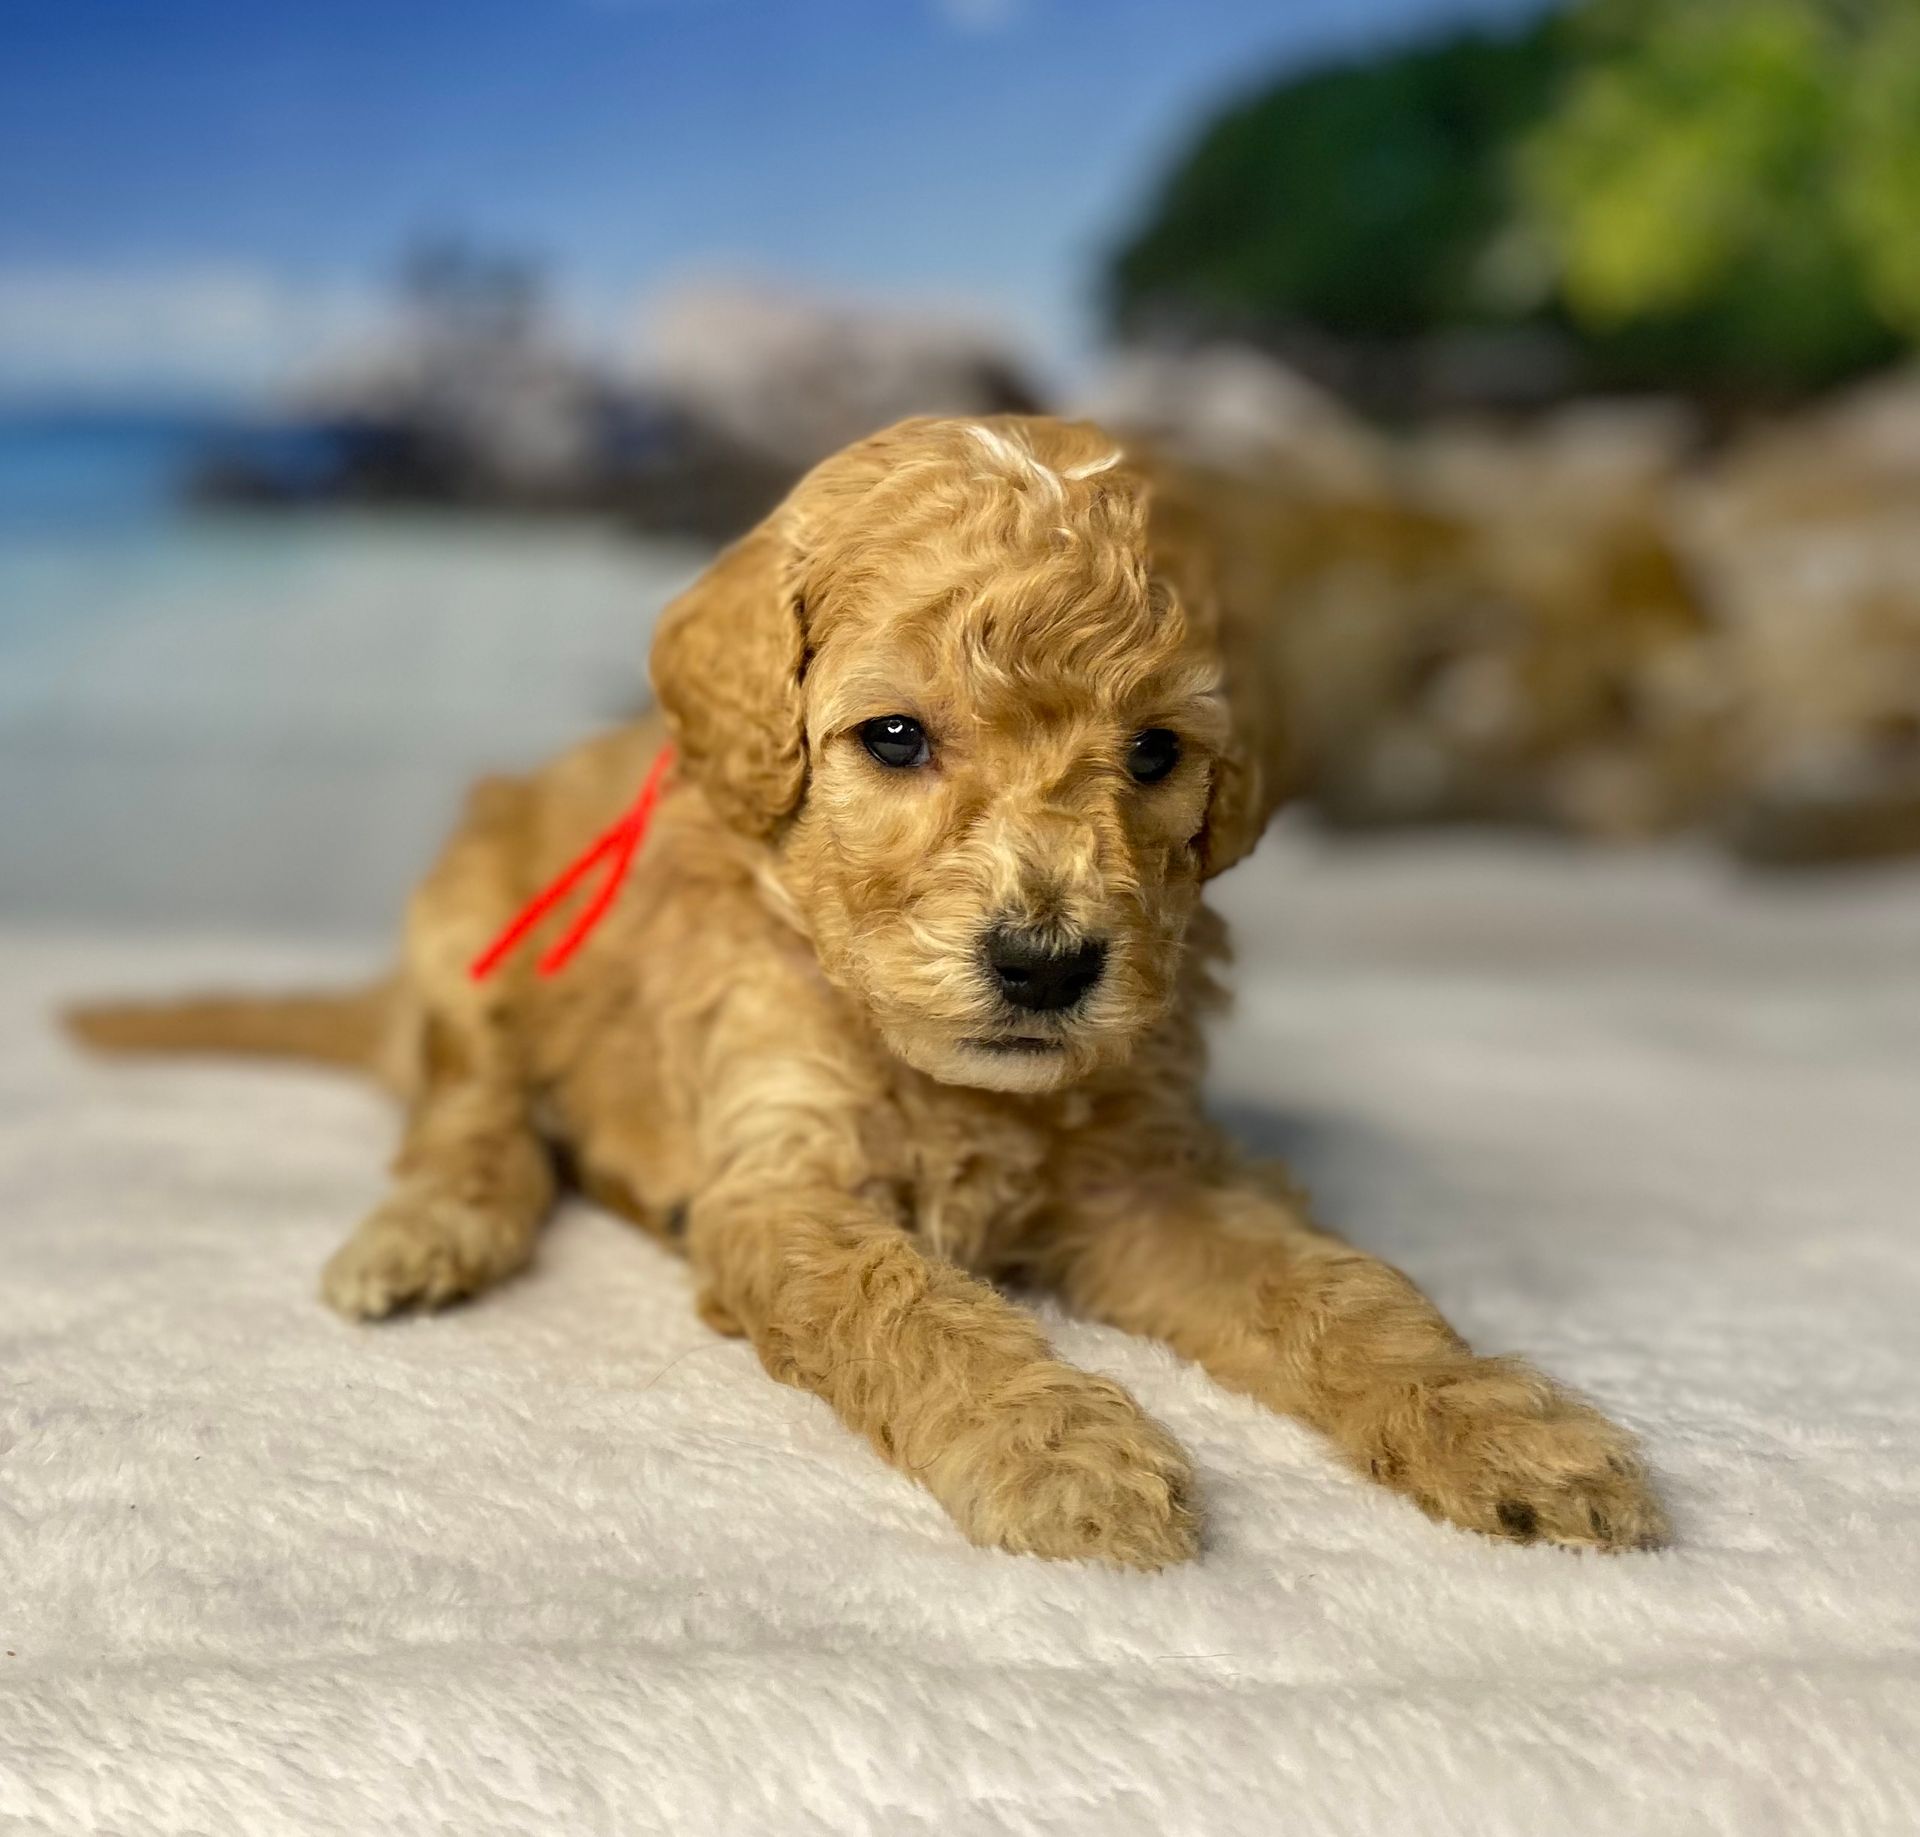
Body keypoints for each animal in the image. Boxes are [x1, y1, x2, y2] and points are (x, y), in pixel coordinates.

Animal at [71, 416, 1666, 1566]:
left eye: (1155, 753)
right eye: (895, 737)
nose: (1046, 963)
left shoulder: (1151, 1176)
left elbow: (1342, 1288)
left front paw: (1498, 1426)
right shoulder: (782, 1181)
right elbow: (917, 1307)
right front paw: (1060, 1451)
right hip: (468, 929)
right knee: (472, 1112)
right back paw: (428, 1231)